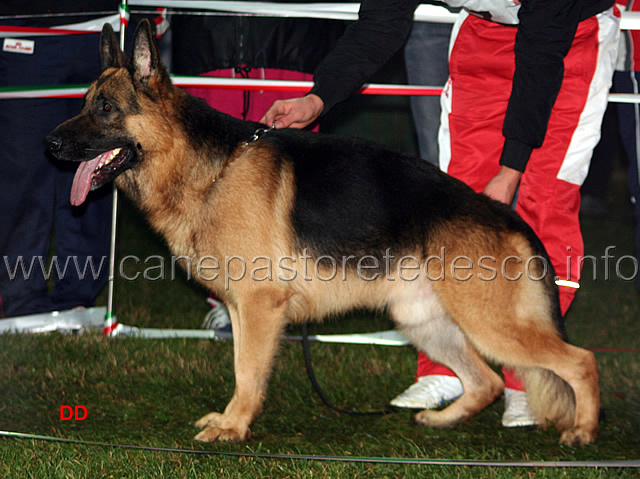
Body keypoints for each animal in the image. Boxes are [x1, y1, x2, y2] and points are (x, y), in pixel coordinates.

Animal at [46, 19, 600, 446]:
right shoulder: (240, 309)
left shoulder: (260, 306)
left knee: (580, 361)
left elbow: (249, 371)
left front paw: (234, 428)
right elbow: (241, 367)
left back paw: (583, 431)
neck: (211, 166)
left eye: (107, 109)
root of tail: (503, 213)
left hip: (491, 324)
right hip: (423, 320)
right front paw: (233, 419)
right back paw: (444, 420)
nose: (49, 143)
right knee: (485, 381)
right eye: (84, 103)